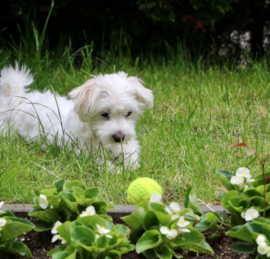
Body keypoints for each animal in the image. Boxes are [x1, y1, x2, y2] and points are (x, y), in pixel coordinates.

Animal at [0, 64, 154, 170]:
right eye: (104, 114)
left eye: (129, 113)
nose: (119, 137)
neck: (98, 137)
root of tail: (18, 99)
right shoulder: (86, 155)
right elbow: (104, 165)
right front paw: (117, 171)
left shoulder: (128, 144)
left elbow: (131, 154)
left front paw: (131, 166)